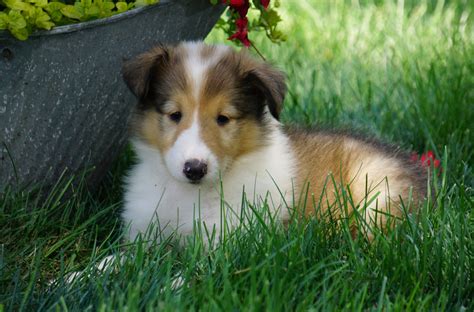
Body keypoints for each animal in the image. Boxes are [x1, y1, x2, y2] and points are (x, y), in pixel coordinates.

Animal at [121, 40, 426, 241]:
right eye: (174, 114)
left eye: (223, 118)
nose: (194, 169)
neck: (189, 193)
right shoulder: (142, 231)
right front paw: (108, 267)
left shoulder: (225, 241)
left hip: (378, 194)